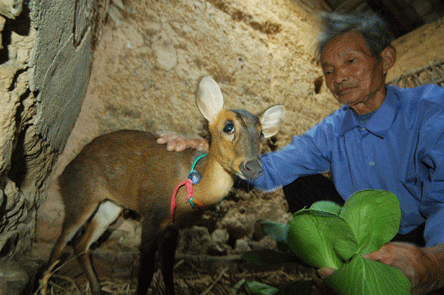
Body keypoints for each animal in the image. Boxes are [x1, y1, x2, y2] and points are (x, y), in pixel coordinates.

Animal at [44, 77, 284, 295]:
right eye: (228, 126)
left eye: (262, 133)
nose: (253, 167)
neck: (192, 184)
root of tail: (62, 174)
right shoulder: (152, 213)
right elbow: (145, 272)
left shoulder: (172, 226)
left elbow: (168, 269)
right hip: (80, 196)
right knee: (59, 246)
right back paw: (44, 287)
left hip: (110, 206)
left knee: (80, 245)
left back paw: (97, 289)